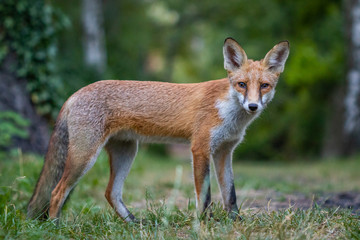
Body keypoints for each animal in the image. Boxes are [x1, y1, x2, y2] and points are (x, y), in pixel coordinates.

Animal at [26, 37, 288, 221]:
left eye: (264, 86)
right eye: (242, 84)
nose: (253, 106)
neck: (229, 112)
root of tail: (74, 93)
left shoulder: (224, 151)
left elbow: (230, 194)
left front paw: (235, 222)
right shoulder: (200, 148)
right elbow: (205, 194)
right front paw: (206, 223)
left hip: (127, 152)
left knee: (111, 193)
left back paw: (133, 223)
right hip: (85, 158)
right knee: (57, 191)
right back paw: (55, 226)